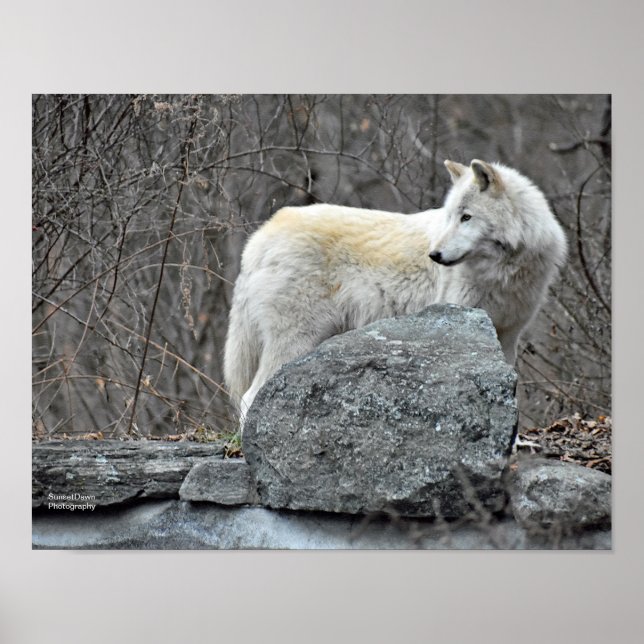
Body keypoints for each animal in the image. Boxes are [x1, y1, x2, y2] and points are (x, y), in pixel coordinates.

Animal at [224, 159, 567, 424]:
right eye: (451, 217)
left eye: (466, 217)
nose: (435, 255)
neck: (503, 272)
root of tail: (260, 237)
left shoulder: (507, 336)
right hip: (295, 341)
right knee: (249, 397)